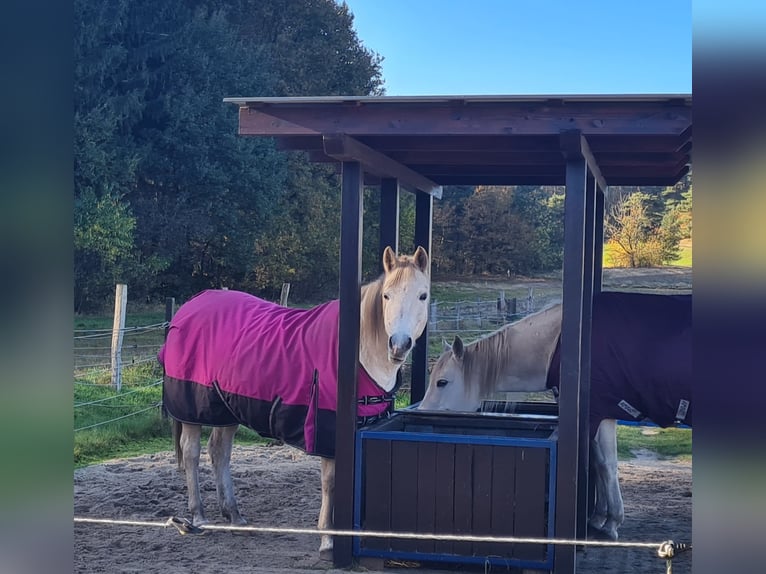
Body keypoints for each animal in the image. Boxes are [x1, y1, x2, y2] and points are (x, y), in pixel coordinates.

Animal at [160, 245, 432, 560]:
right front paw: (328, 540)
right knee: (191, 453)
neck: (357, 355)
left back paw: (235, 516)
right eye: (386, 295)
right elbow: (330, 483)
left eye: (423, 295)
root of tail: (189, 307)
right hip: (194, 409)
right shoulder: (328, 432)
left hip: (226, 409)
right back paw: (199, 516)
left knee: (219, 453)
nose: (399, 345)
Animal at [420, 294, 696, 544]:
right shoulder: (592, 418)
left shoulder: (603, 414)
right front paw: (598, 519)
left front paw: (612, 524)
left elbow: (608, 465)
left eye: (442, 382)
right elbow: (597, 463)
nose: (421, 412)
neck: (565, 345)